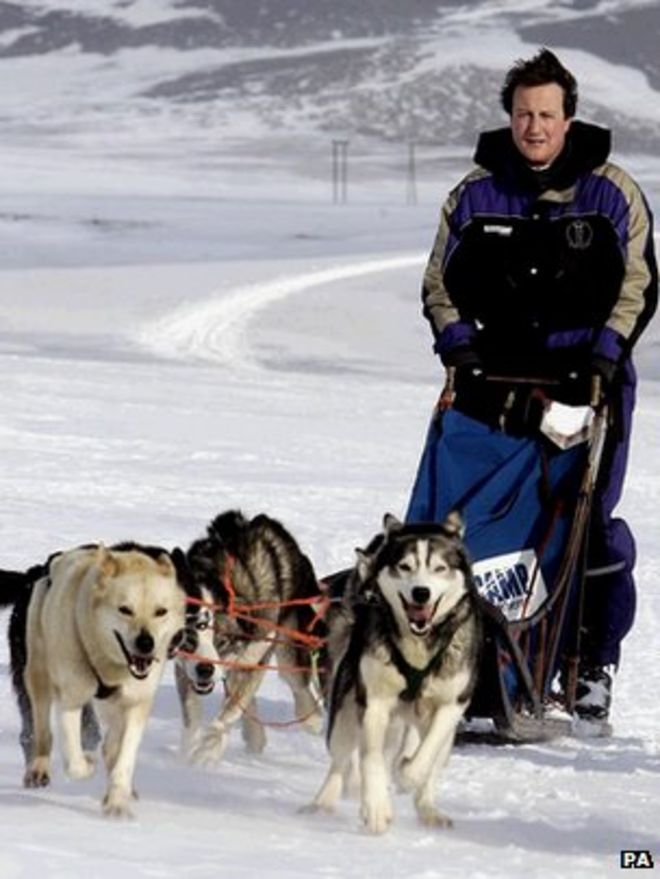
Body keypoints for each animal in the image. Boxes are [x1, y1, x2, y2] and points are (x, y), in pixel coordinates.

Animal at [173, 512, 322, 768]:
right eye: (189, 640)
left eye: (221, 641)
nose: (205, 670)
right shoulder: (184, 667)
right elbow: (191, 717)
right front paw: (185, 756)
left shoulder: (256, 654)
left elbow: (229, 712)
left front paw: (207, 751)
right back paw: (255, 736)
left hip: (287, 648)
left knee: (297, 685)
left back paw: (312, 720)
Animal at [306, 512, 482, 836]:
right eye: (405, 566)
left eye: (440, 568)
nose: (421, 593)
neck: (418, 646)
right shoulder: (374, 701)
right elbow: (370, 758)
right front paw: (376, 808)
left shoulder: (453, 704)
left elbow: (424, 756)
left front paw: (406, 775)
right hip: (344, 713)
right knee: (341, 761)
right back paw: (323, 802)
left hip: (438, 733)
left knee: (430, 764)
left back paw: (428, 809)